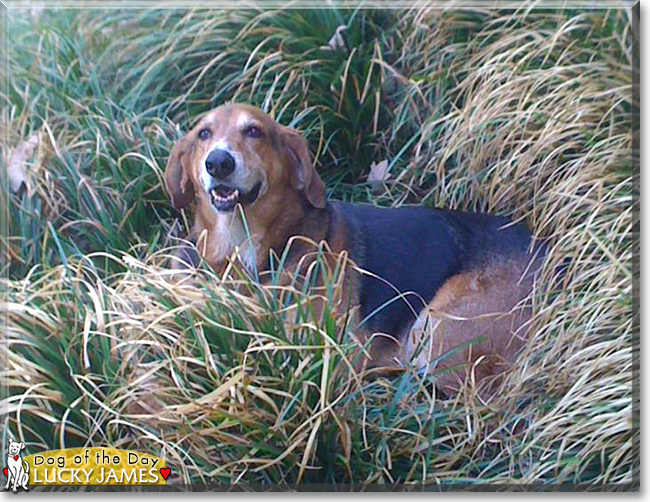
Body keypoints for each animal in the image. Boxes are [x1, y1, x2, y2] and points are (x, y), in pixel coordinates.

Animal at [165, 104, 544, 396]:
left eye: (254, 131)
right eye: (203, 134)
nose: (218, 162)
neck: (247, 251)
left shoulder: (336, 353)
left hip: (437, 327)